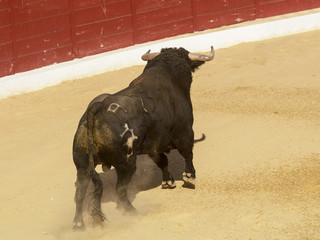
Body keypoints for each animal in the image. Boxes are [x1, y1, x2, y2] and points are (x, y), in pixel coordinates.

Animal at [71, 46, 214, 230]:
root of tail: (98, 108)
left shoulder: (154, 146)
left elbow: (162, 162)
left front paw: (168, 182)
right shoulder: (185, 132)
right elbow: (187, 154)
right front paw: (190, 178)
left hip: (81, 165)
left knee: (80, 192)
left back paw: (78, 224)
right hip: (126, 164)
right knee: (120, 189)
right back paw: (132, 211)